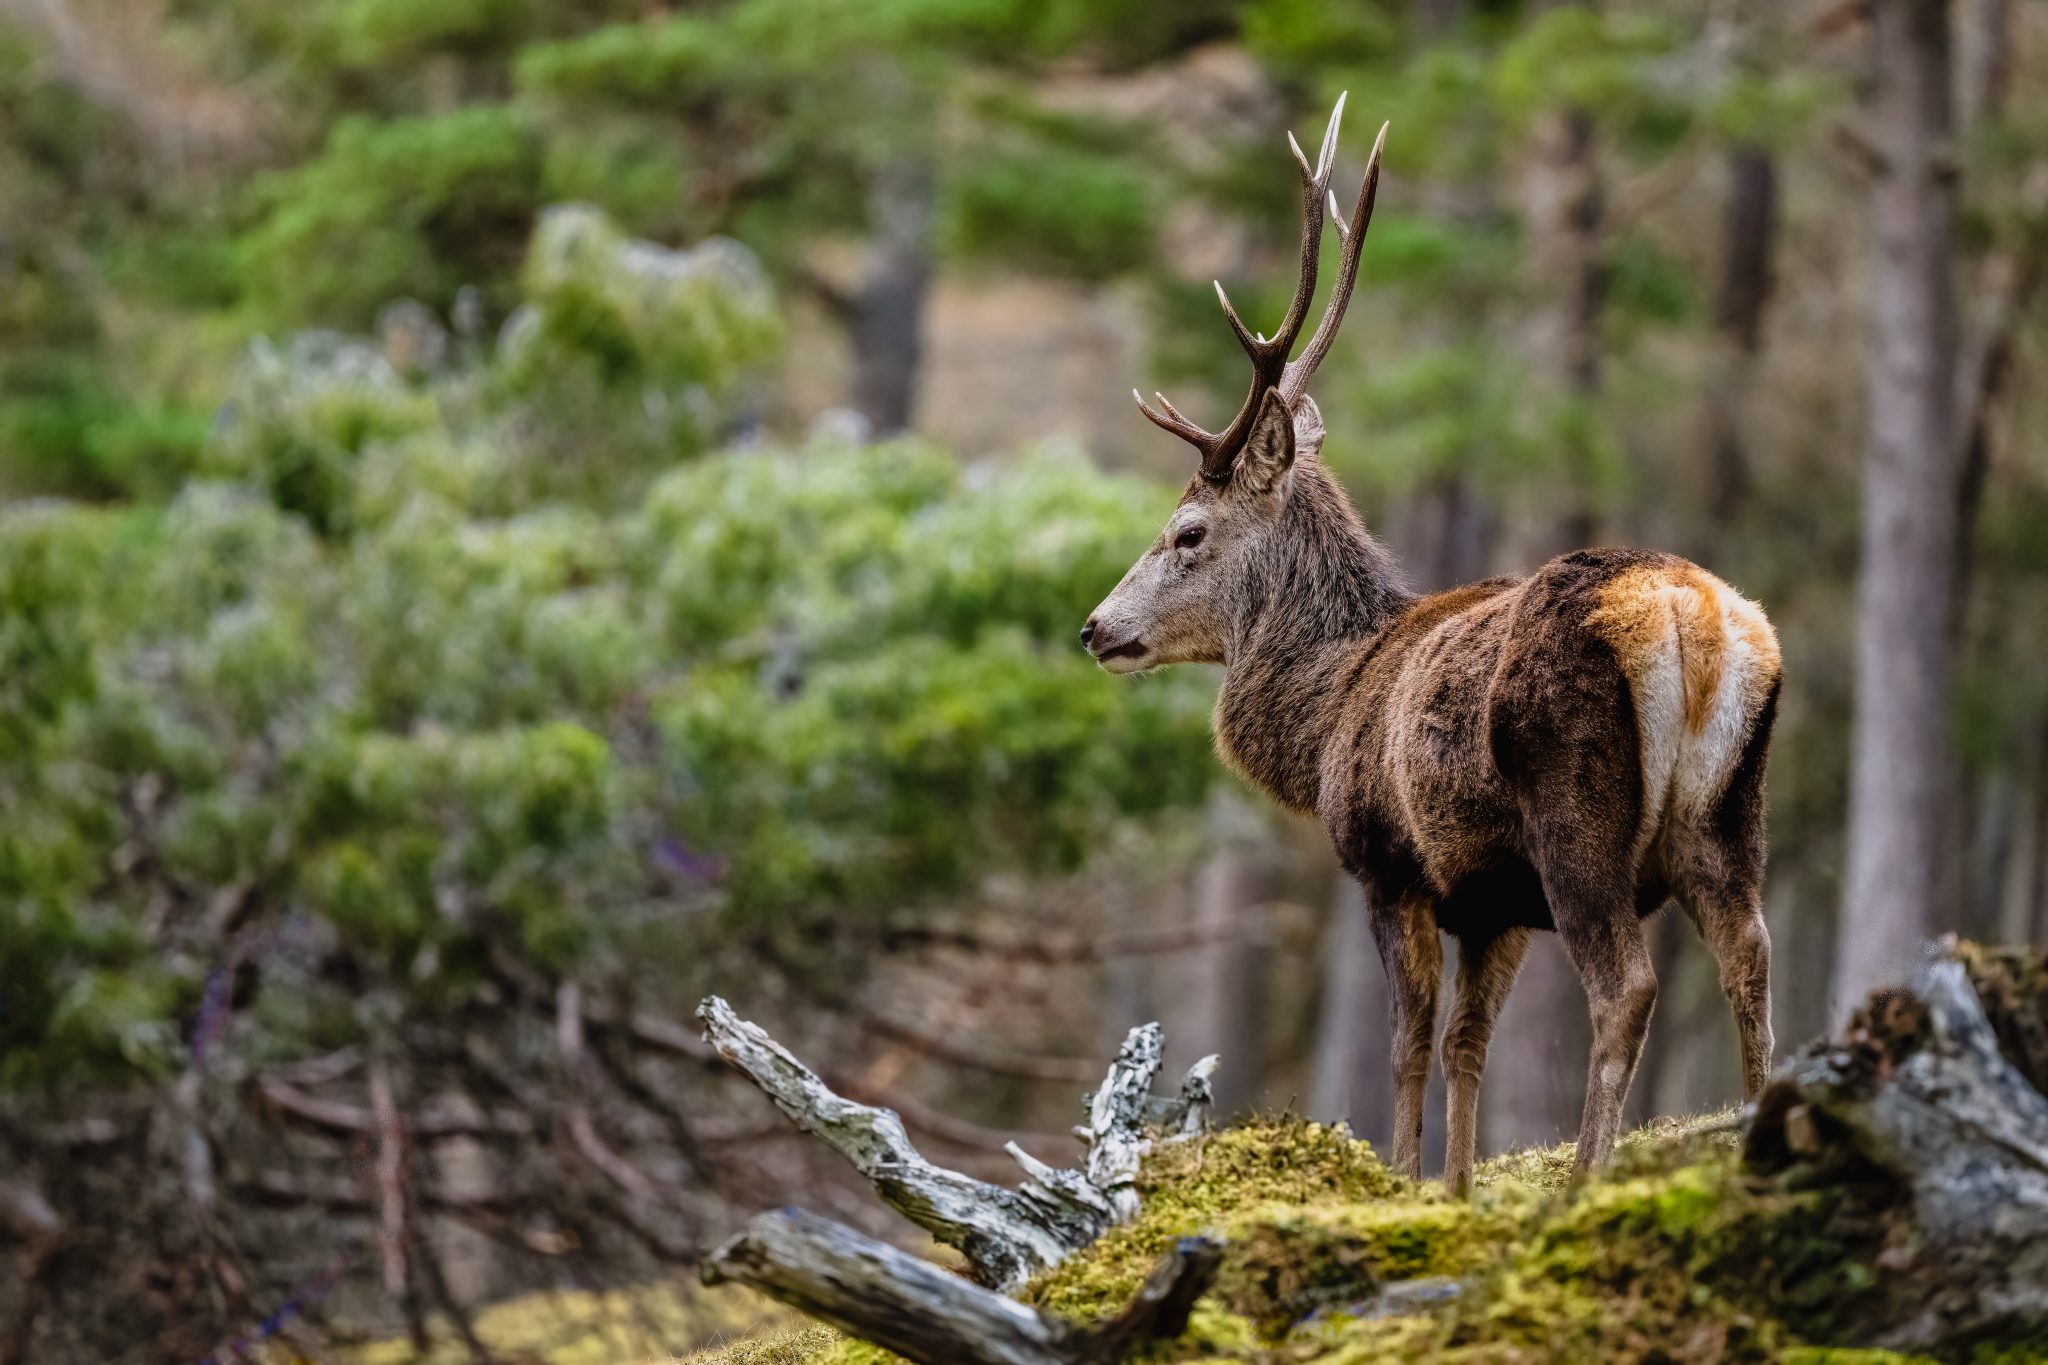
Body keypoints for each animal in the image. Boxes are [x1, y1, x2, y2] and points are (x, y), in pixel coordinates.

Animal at [1081, 96, 1782, 1193]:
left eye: (1186, 532)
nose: (1096, 628)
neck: (1327, 713)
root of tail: (1692, 619)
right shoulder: (1492, 901)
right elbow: (1466, 1045)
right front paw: (1450, 1189)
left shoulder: (1387, 863)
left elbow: (1408, 1044)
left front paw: (1396, 1184)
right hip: (1729, 810)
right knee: (1749, 952)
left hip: (1576, 809)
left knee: (1626, 985)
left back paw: (1582, 1181)